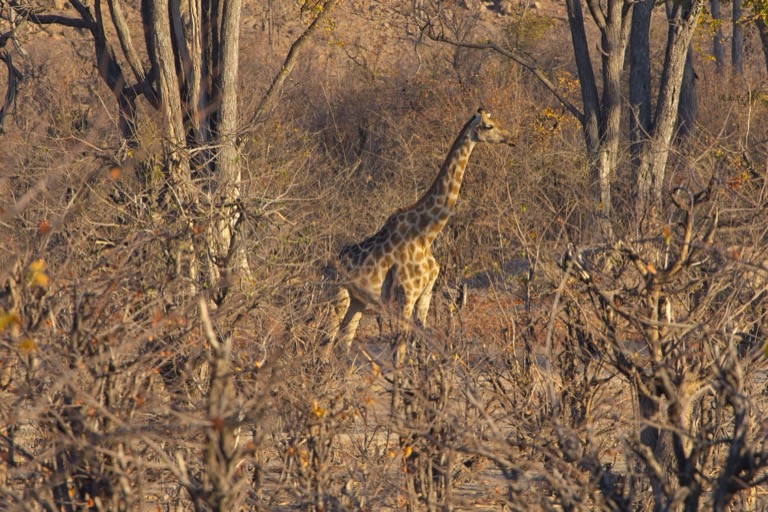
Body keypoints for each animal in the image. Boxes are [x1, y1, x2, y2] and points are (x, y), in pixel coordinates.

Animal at [327, 108, 514, 348]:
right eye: (488, 126)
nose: (511, 138)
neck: (427, 234)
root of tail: (327, 265)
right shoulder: (406, 295)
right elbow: (399, 347)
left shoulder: (425, 295)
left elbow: (419, 342)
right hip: (337, 295)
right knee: (325, 342)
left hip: (357, 302)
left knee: (342, 344)